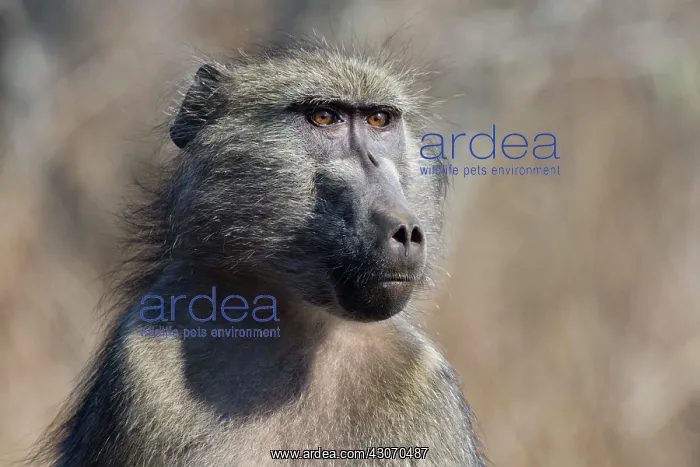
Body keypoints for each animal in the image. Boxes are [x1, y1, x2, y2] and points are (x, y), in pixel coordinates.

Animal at [30, 38, 488, 467]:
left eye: (379, 120)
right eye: (324, 117)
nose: (405, 230)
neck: (297, 326)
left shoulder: (425, 384)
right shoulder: (143, 370)